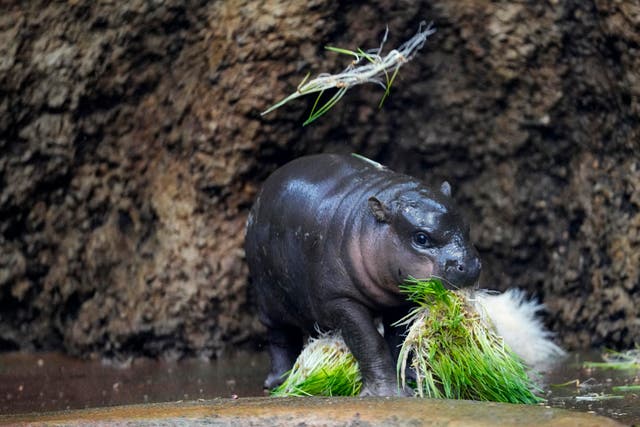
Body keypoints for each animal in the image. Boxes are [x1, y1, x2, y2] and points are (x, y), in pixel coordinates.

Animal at [244, 154, 481, 396]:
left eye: (467, 228)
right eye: (421, 238)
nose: (469, 265)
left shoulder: (400, 300)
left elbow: (399, 340)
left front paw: (411, 383)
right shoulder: (340, 300)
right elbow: (369, 342)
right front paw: (388, 393)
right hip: (268, 297)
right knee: (279, 336)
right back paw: (279, 383)